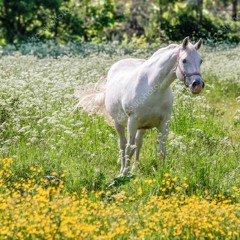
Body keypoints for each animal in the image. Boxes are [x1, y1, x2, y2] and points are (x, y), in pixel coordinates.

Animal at [76, 38, 203, 176]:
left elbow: (161, 150)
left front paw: (162, 173)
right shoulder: (132, 122)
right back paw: (123, 168)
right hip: (118, 123)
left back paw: (135, 166)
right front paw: (124, 173)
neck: (153, 88)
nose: (197, 85)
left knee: (138, 143)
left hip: (142, 127)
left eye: (200, 60)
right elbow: (128, 148)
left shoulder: (164, 122)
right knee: (123, 144)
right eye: (184, 60)